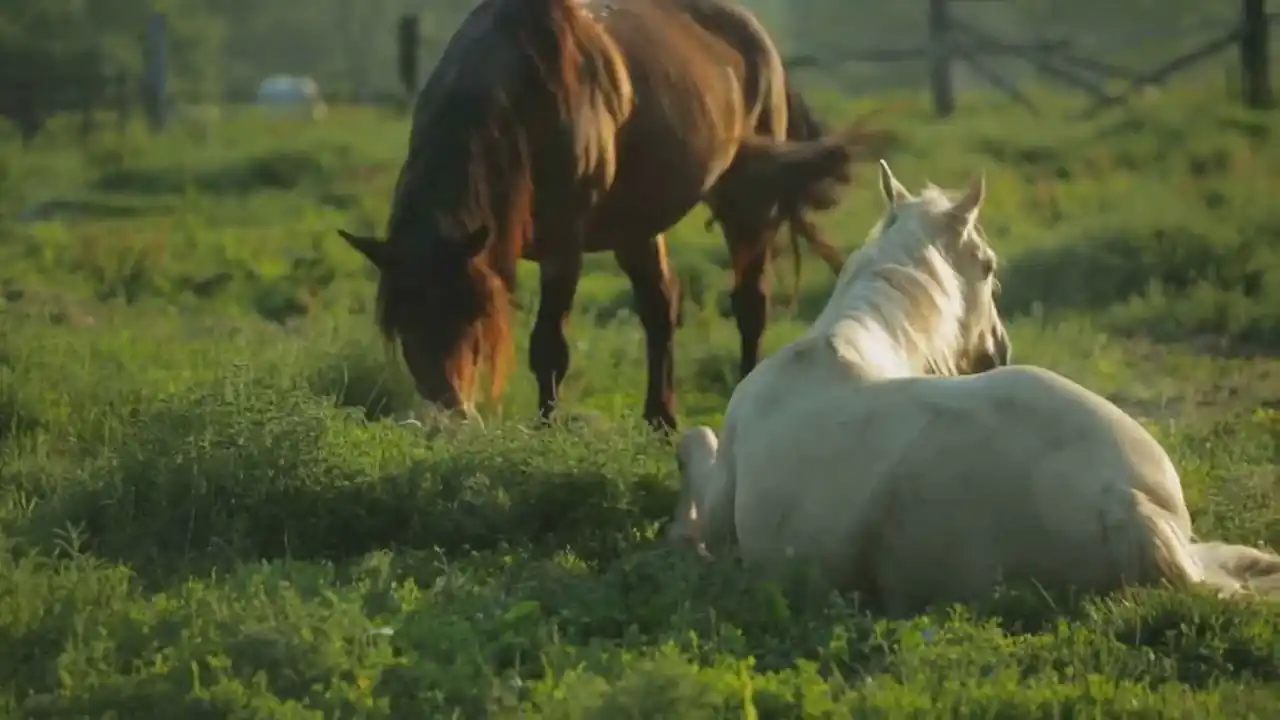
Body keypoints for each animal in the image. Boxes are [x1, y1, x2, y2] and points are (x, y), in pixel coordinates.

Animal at [336, 0, 888, 432]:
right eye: (400, 323)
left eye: (473, 312)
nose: (449, 414)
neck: (528, 96)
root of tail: (760, 40)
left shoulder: (565, 240)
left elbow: (549, 345)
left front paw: (546, 430)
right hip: (635, 224)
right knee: (661, 305)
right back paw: (660, 419)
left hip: (747, 201)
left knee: (750, 304)